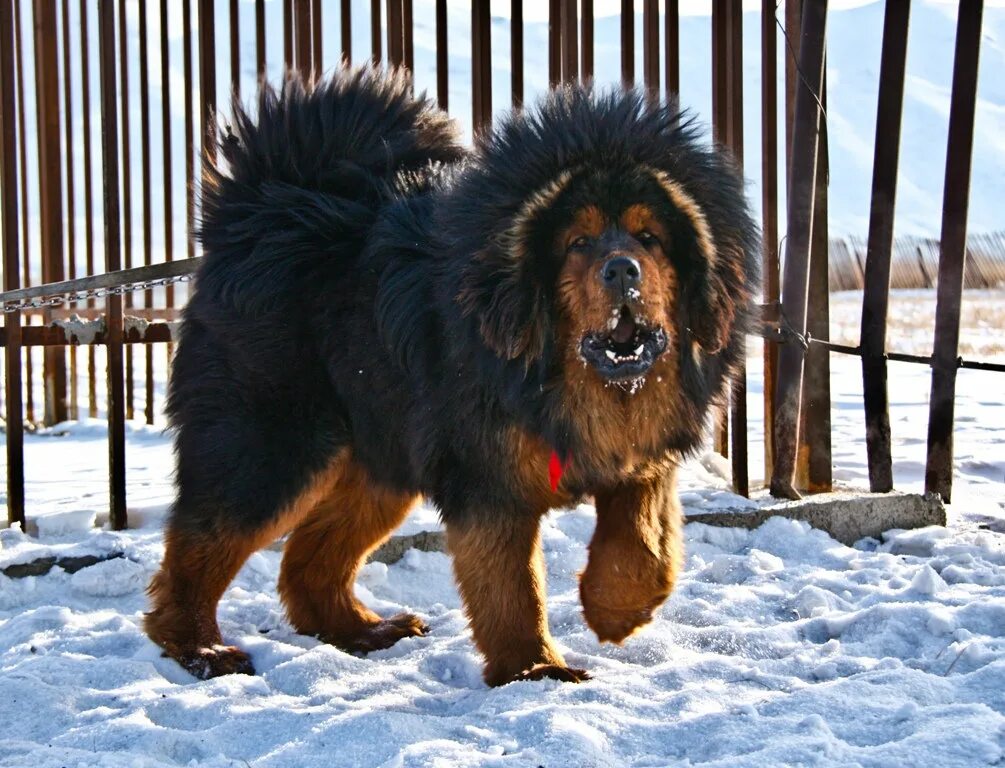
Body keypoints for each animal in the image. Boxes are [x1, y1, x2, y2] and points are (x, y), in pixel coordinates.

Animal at [145, 68, 755, 687]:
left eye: (648, 238)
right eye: (577, 243)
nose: (622, 269)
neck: (567, 382)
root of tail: (267, 205)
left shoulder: (640, 458)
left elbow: (643, 545)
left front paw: (616, 611)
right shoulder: (486, 479)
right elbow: (512, 588)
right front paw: (534, 668)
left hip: (380, 459)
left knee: (309, 561)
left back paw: (362, 630)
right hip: (275, 451)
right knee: (200, 548)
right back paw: (200, 647)